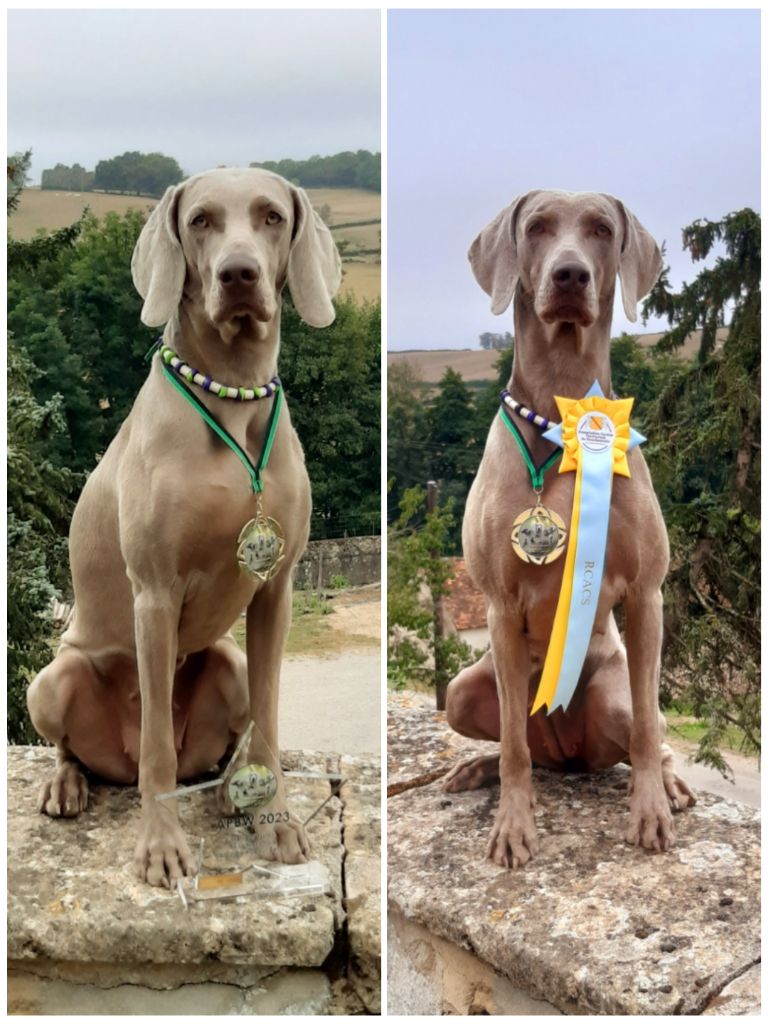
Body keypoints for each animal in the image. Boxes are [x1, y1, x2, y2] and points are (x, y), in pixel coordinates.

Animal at [27, 167, 339, 888]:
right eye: (200, 220)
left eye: (272, 216)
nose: (239, 274)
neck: (232, 396)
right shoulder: (155, 591)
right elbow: (158, 757)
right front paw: (162, 846)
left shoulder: (277, 587)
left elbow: (271, 719)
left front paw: (275, 819)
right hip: (51, 681)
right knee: (87, 748)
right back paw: (67, 784)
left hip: (226, 661)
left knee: (225, 735)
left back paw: (229, 787)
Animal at [444, 190, 696, 864]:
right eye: (536, 227)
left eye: (602, 230)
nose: (569, 275)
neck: (561, 417)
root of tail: (571, 754)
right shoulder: (500, 607)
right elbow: (512, 745)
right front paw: (512, 825)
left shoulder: (648, 595)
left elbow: (651, 725)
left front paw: (650, 812)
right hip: (463, 690)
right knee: (524, 746)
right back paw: (477, 770)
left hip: (610, 697)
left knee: (646, 734)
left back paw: (668, 785)